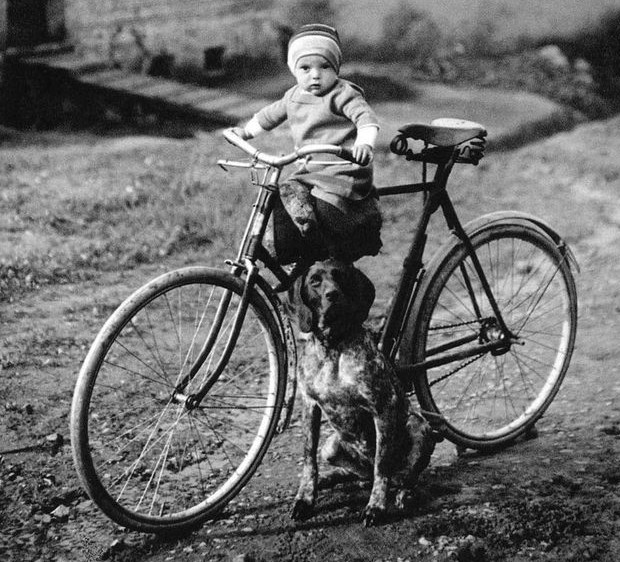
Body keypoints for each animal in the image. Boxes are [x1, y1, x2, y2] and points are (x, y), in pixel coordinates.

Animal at [289, 258, 436, 527]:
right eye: (314, 281)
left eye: (340, 276)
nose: (332, 294)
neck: (333, 346)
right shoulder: (309, 405)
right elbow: (308, 459)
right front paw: (305, 497)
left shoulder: (383, 406)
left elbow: (382, 465)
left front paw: (375, 506)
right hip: (331, 446)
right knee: (359, 474)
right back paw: (329, 478)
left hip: (418, 425)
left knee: (402, 477)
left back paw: (404, 494)